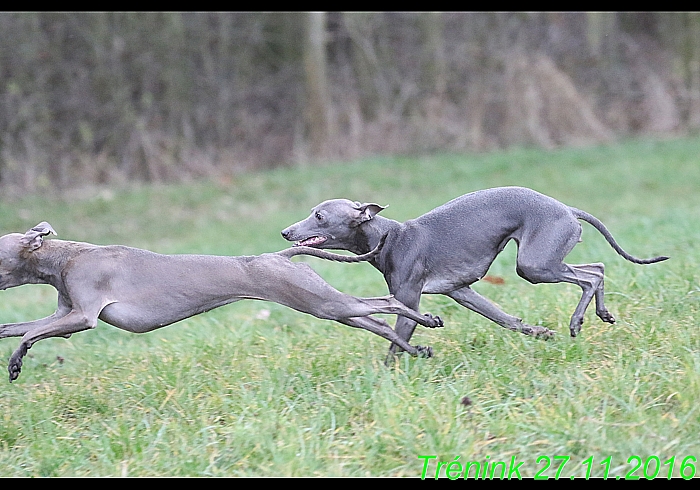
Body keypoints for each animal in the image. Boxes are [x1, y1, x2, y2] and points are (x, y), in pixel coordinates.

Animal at [0, 221, 442, 378]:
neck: (64, 257)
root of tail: (279, 255)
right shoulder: (65, 313)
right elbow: (17, 328)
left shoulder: (84, 315)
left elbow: (31, 335)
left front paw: (16, 363)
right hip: (325, 306)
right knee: (378, 320)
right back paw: (416, 348)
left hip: (322, 302)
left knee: (388, 302)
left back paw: (428, 321)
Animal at [282, 187, 668, 352]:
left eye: (319, 216)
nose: (285, 232)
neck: (390, 237)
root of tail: (566, 208)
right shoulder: (461, 291)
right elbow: (506, 320)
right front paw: (539, 332)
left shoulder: (409, 301)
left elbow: (396, 342)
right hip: (545, 260)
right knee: (598, 267)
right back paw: (602, 314)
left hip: (534, 265)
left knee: (591, 276)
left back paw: (578, 321)